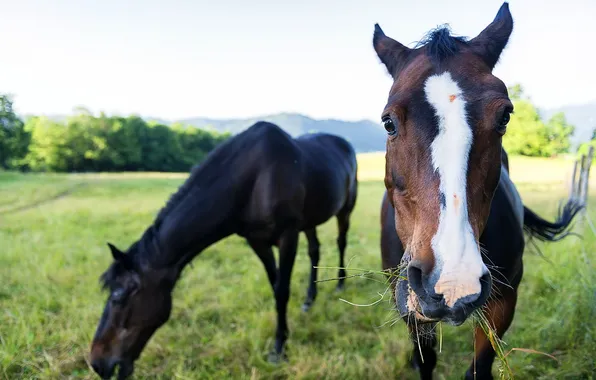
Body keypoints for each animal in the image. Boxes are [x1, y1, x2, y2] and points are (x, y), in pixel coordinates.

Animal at [89, 122, 358, 380]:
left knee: (340, 242)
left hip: (344, 210)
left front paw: (279, 348)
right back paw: (310, 299)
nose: (97, 364)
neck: (254, 180)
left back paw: (340, 284)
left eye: (119, 296)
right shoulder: (257, 241)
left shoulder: (287, 236)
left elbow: (282, 291)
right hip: (310, 220)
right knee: (315, 251)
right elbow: (275, 286)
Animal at [374, 2, 584, 380]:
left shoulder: (502, 302)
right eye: (388, 122)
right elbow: (424, 362)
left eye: (505, 116)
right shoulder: (411, 308)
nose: (452, 282)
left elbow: (479, 368)